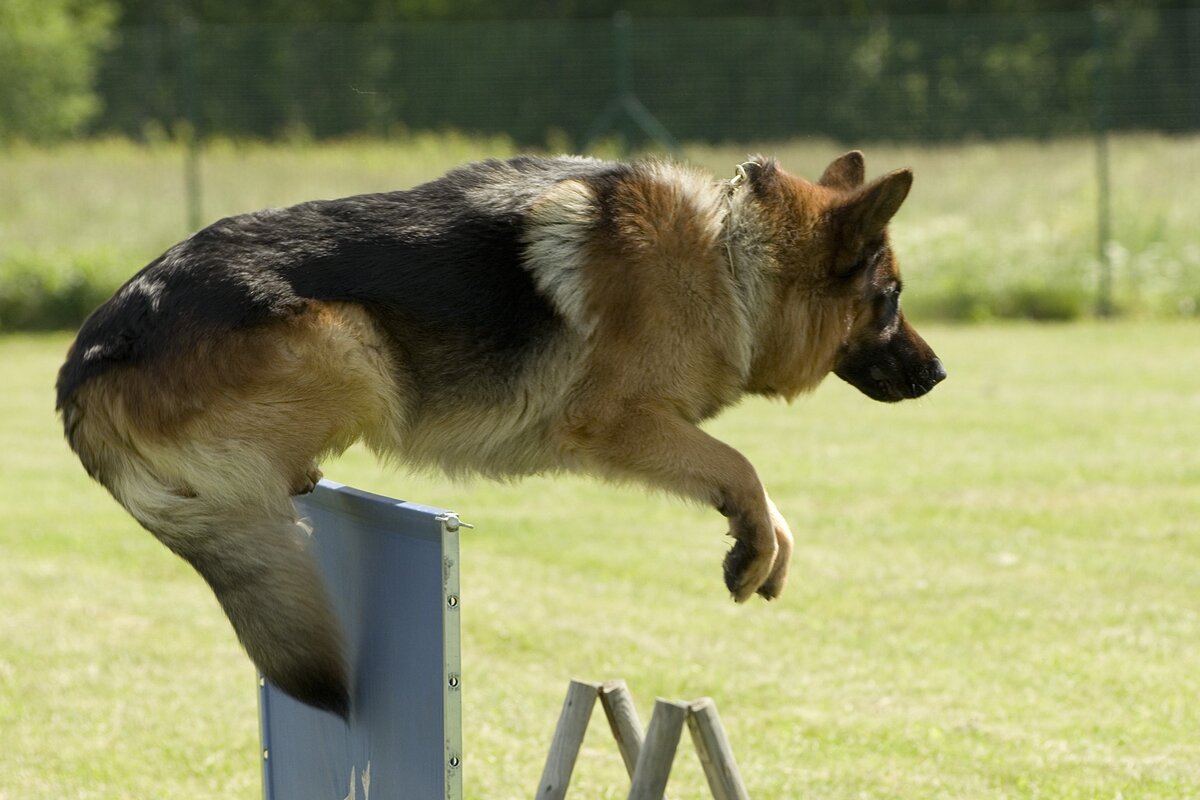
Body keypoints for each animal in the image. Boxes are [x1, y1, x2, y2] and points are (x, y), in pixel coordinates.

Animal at [56, 149, 940, 719]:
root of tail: (86, 360)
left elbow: (754, 486)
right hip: (354, 345)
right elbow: (741, 463)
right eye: (891, 298)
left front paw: (766, 546)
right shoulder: (616, 422)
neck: (731, 254)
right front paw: (754, 547)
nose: (937, 377)